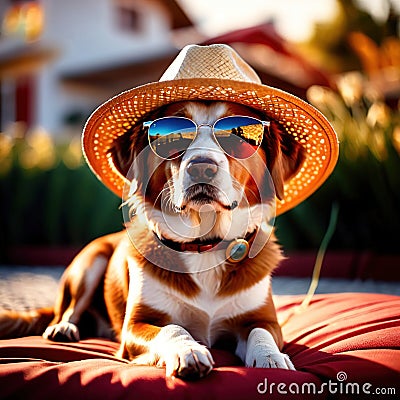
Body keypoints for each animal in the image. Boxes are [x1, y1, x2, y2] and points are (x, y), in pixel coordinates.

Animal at [0, 99, 304, 378]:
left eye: (235, 136)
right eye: (173, 135)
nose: (201, 167)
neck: (203, 245)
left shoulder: (265, 320)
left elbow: (260, 333)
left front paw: (271, 358)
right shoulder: (135, 326)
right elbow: (172, 328)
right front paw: (188, 350)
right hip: (90, 261)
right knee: (67, 309)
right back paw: (63, 327)